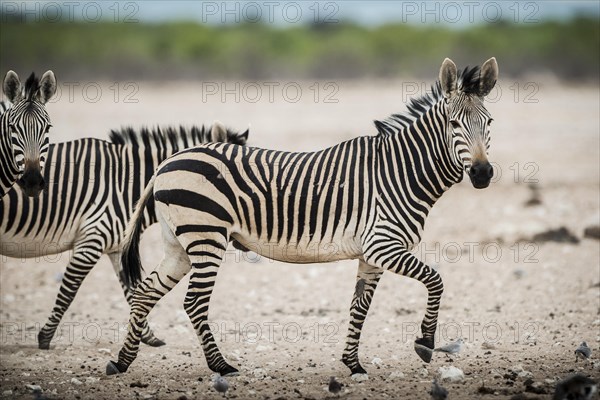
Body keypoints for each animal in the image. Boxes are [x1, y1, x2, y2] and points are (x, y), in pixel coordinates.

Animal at [0, 123, 248, 348]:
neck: (128, 185)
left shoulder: (118, 246)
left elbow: (132, 288)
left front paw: (147, 337)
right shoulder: (92, 239)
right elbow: (68, 291)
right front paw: (45, 338)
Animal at [106, 57, 496, 376]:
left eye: (489, 122)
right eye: (454, 123)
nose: (482, 174)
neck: (399, 172)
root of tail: (166, 162)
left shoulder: (371, 255)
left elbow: (359, 308)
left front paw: (353, 364)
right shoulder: (384, 246)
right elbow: (436, 280)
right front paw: (425, 343)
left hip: (179, 244)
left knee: (144, 293)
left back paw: (121, 362)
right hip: (206, 236)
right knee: (194, 302)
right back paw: (221, 366)